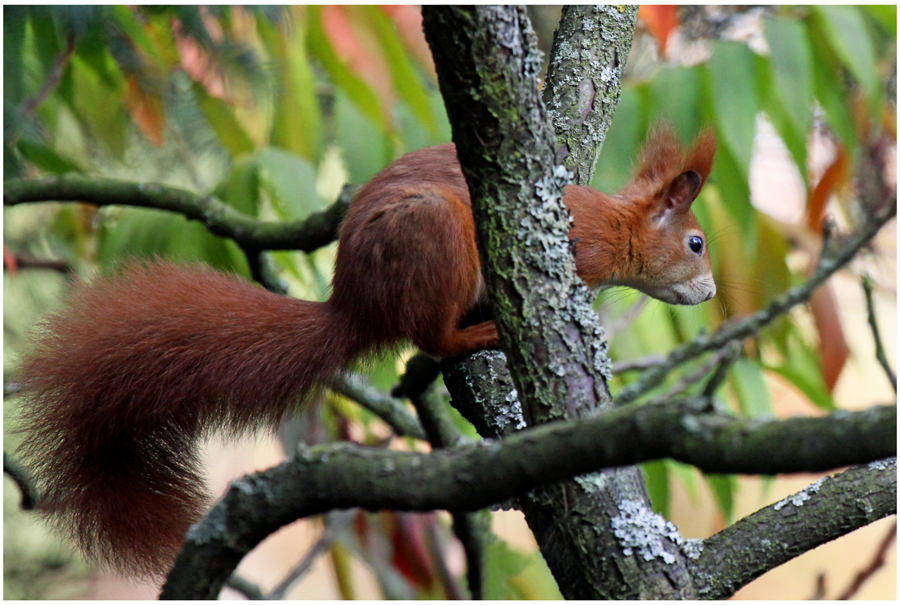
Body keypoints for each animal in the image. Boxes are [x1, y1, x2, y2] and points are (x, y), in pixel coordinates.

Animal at [15, 125, 716, 580]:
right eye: (697, 244)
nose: (710, 294)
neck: (618, 227)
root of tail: (354, 304)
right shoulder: (579, 249)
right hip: (437, 235)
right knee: (431, 339)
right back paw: (478, 334)